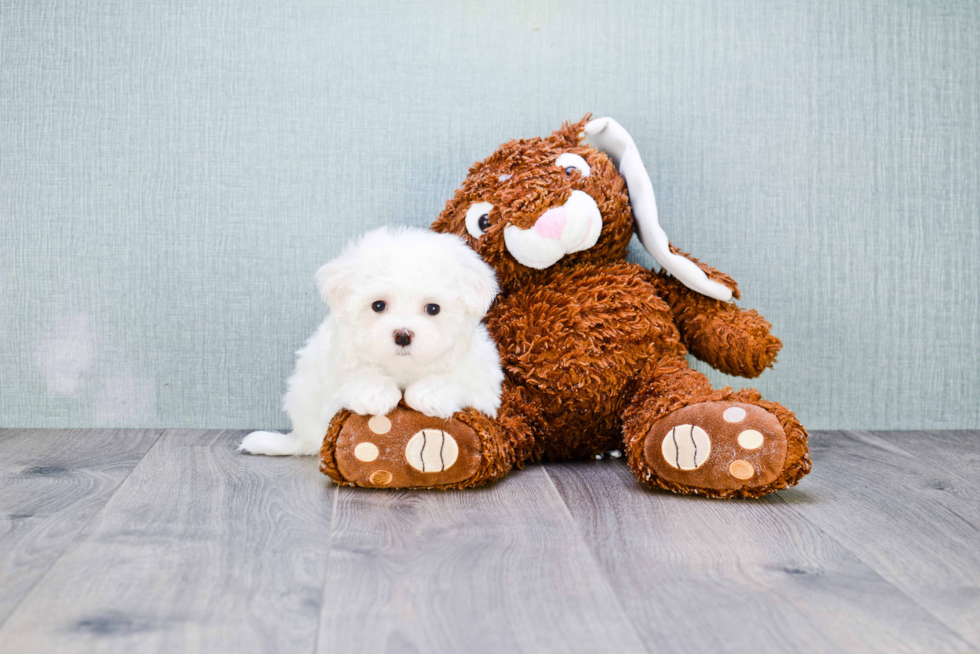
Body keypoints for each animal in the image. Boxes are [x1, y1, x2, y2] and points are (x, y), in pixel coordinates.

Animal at [239, 228, 506, 458]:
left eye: (433, 308)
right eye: (378, 305)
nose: (402, 335)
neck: (403, 368)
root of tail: (302, 437)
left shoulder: (482, 378)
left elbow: (455, 378)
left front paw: (428, 394)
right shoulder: (335, 368)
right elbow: (358, 373)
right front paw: (376, 394)